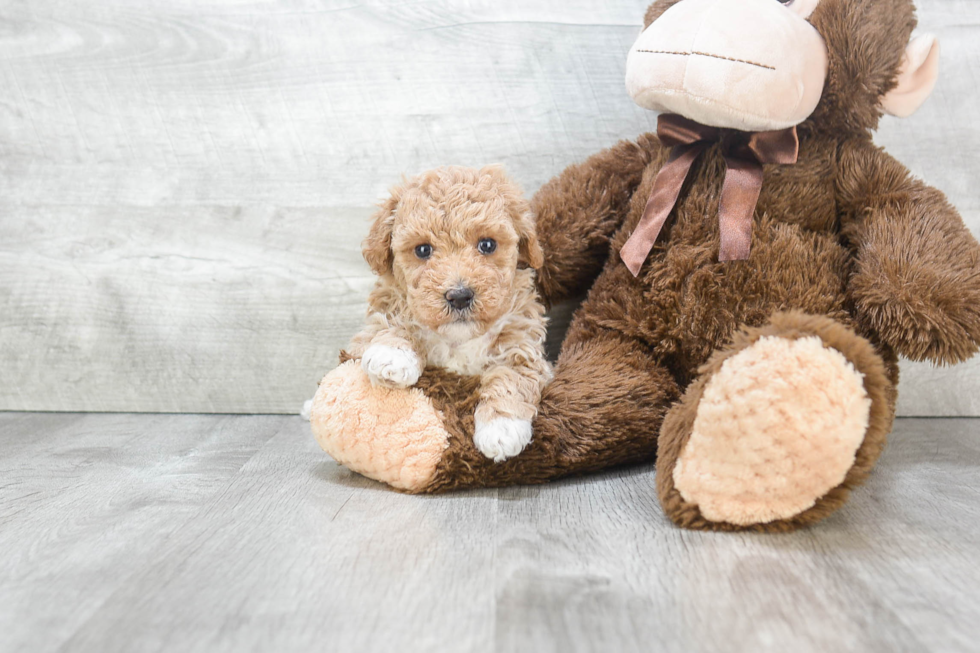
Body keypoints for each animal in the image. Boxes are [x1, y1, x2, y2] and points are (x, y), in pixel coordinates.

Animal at [348, 166, 556, 460]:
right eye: (423, 249)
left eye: (487, 245)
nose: (459, 296)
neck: (458, 339)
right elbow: (387, 322)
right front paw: (392, 355)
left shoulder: (522, 345)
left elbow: (512, 377)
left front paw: (501, 428)